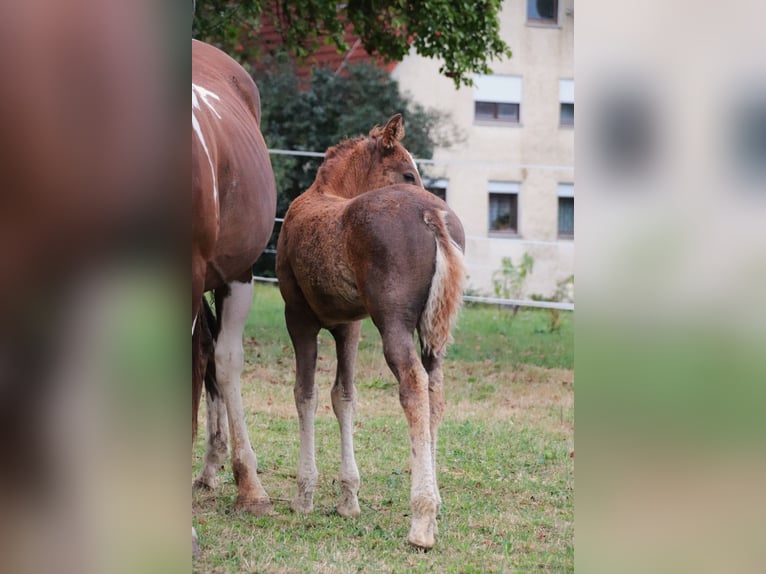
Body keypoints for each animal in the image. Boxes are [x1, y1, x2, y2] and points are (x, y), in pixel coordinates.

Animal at [278, 115, 468, 552]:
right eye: (407, 173)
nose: (418, 185)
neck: (326, 194)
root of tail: (432, 214)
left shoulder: (298, 317)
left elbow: (305, 395)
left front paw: (303, 495)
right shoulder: (349, 325)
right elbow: (344, 396)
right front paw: (348, 498)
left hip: (393, 323)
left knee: (413, 384)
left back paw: (421, 520)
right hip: (432, 333)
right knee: (435, 388)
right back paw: (433, 507)